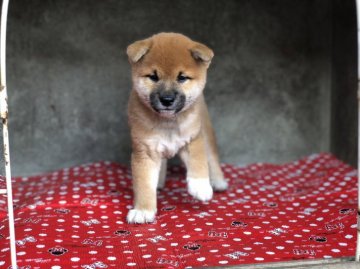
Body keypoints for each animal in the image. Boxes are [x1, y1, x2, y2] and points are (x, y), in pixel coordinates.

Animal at [126, 32, 228, 223]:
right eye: (153, 77)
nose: (167, 99)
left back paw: (218, 182)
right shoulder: (145, 150)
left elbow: (199, 162)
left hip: (207, 133)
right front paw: (143, 210)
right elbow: (144, 183)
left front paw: (201, 186)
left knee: (212, 157)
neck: (168, 123)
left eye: (182, 78)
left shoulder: (194, 139)